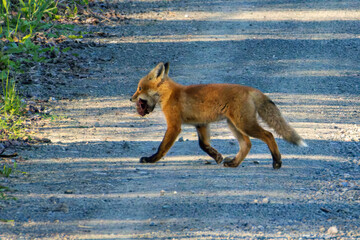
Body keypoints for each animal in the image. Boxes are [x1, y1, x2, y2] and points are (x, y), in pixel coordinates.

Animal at [130, 62, 306, 170]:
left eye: (139, 88)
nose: (130, 98)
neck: (169, 94)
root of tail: (251, 89)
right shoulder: (201, 124)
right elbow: (203, 145)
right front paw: (217, 157)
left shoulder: (174, 126)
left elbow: (162, 147)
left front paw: (151, 159)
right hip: (233, 125)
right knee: (247, 144)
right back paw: (234, 163)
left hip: (244, 125)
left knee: (268, 135)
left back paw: (277, 161)